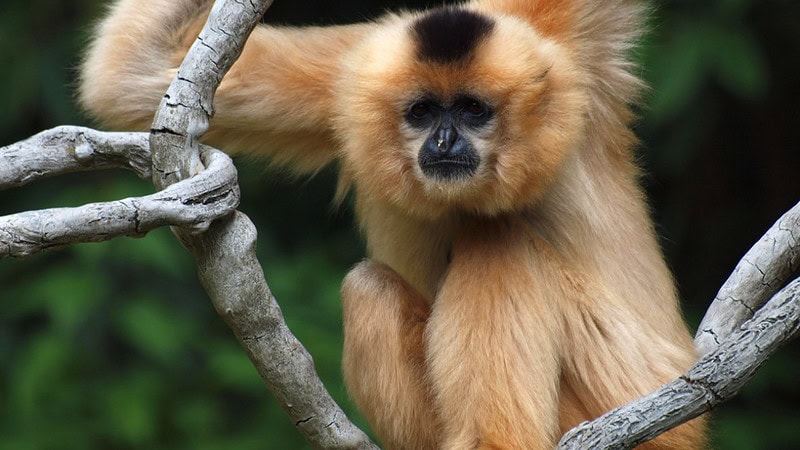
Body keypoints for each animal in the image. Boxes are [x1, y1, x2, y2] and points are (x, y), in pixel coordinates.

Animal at [79, 0, 708, 448]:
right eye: (423, 112)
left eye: (473, 110)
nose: (445, 141)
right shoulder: (352, 80)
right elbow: (132, 74)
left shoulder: (572, 68)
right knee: (372, 288)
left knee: (497, 240)